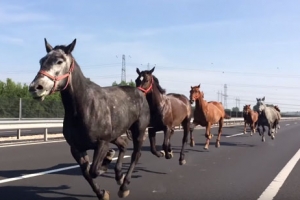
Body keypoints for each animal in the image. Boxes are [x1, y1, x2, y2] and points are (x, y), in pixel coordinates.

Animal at [28, 38, 150, 199]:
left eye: (60, 61)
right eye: (41, 60)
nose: (35, 87)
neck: (83, 107)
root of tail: (140, 92)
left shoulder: (102, 142)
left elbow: (93, 170)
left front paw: (106, 162)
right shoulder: (76, 148)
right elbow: (86, 173)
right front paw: (102, 192)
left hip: (139, 130)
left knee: (136, 154)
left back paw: (124, 186)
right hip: (116, 133)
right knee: (123, 144)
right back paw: (118, 175)